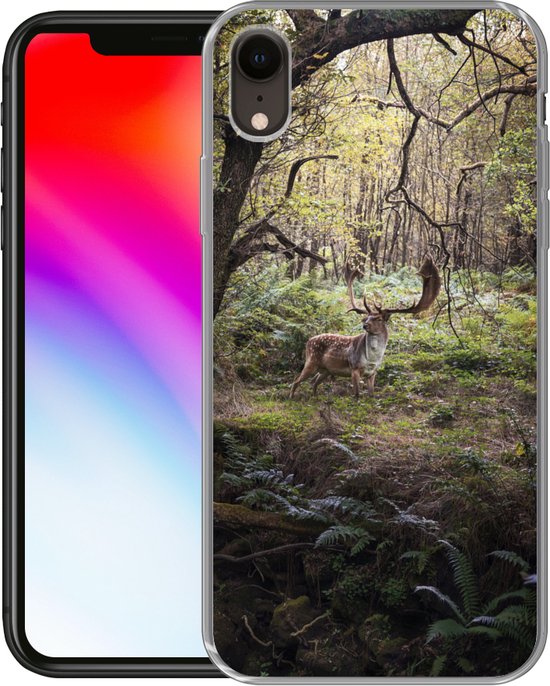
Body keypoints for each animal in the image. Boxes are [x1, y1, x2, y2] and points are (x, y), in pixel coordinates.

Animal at [289, 256, 441, 399]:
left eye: (378, 318)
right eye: (365, 318)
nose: (365, 325)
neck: (372, 360)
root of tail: (308, 341)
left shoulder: (372, 373)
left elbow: (371, 394)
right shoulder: (354, 368)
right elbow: (357, 395)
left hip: (326, 370)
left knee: (314, 382)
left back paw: (314, 397)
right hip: (311, 361)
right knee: (296, 380)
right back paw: (291, 397)